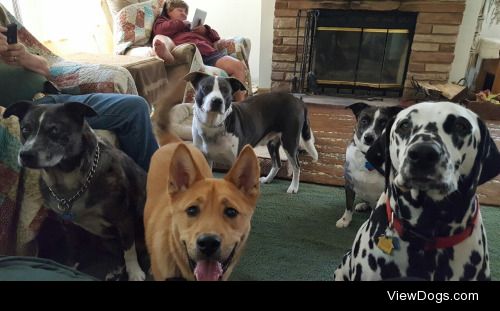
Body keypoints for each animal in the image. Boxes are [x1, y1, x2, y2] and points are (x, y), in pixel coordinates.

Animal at [3, 101, 146, 282]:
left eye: (54, 131)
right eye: (25, 129)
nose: (25, 155)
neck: (68, 182)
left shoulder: (124, 219)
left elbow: (129, 249)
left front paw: (135, 272)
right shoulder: (67, 224)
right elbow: (73, 247)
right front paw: (70, 266)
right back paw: (116, 269)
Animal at [183, 72, 316, 194]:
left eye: (225, 90)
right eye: (206, 88)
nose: (217, 101)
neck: (213, 125)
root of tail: (299, 101)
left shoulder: (236, 160)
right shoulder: (205, 158)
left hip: (289, 142)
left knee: (296, 166)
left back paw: (294, 187)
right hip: (272, 143)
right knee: (277, 163)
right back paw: (268, 179)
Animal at [334, 102, 500, 282]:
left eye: (461, 126)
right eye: (364, 120)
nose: (423, 153)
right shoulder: (349, 183)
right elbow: (348, 205)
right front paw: (344, 220)